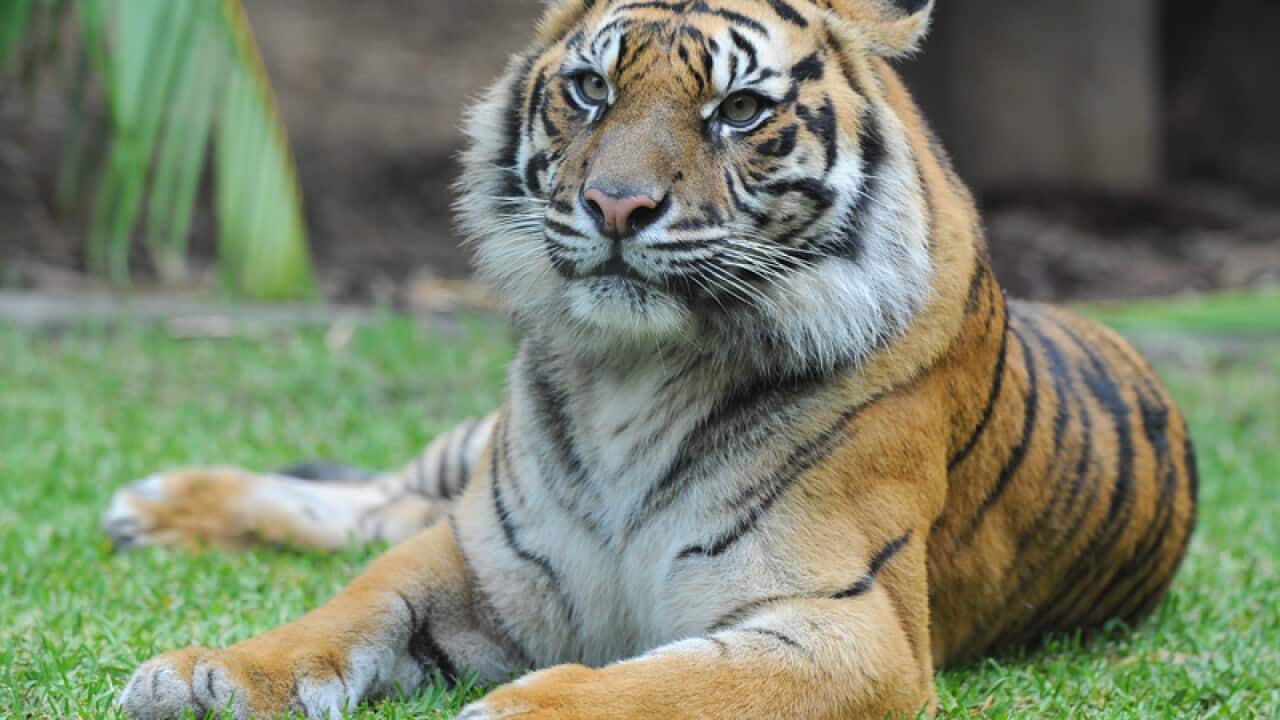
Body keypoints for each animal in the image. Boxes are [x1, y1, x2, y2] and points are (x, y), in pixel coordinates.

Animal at [105, 1, 1199, 718]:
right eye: (591, 90)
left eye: (740, 110)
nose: (617, 205)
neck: (632, 375)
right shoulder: (484, 550)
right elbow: (342, 609)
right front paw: (211, 675)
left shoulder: (850, 626)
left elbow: (658, 685)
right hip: (471, 458)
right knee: (381, 500)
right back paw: (158, 506)